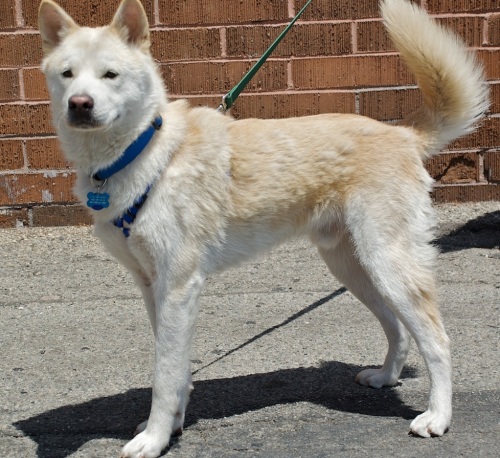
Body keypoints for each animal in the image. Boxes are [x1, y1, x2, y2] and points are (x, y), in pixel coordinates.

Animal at [38, 0, 488, 456]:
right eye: (67, 74)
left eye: (110, 74)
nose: (79, 104)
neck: (149, 153)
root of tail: (403, 135)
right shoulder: (152, 286)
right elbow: (176, 368)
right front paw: (173, 423)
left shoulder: (179, 287)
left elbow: (164, 374)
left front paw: (154, 437)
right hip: (354, 268)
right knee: (397, 327)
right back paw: (386, 376)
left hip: (388, 263)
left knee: (436, 340)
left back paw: (437, 416)